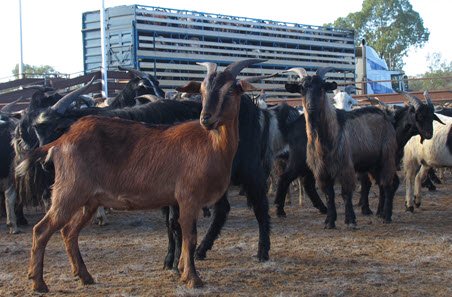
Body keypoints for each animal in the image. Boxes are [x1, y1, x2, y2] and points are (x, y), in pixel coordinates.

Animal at [23, 58, 264, 292]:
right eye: (203, 89)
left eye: (231, 90)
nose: (206, 118)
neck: (210, 145)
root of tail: (62, 140)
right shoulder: (188, 197)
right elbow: (190, 236)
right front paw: (193, 278)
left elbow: (183, 233)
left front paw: (180, 269)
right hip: (69, 192)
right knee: (42, 230)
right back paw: (39, 283)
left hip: (89, 200)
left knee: (68, 232)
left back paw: (85, 276)